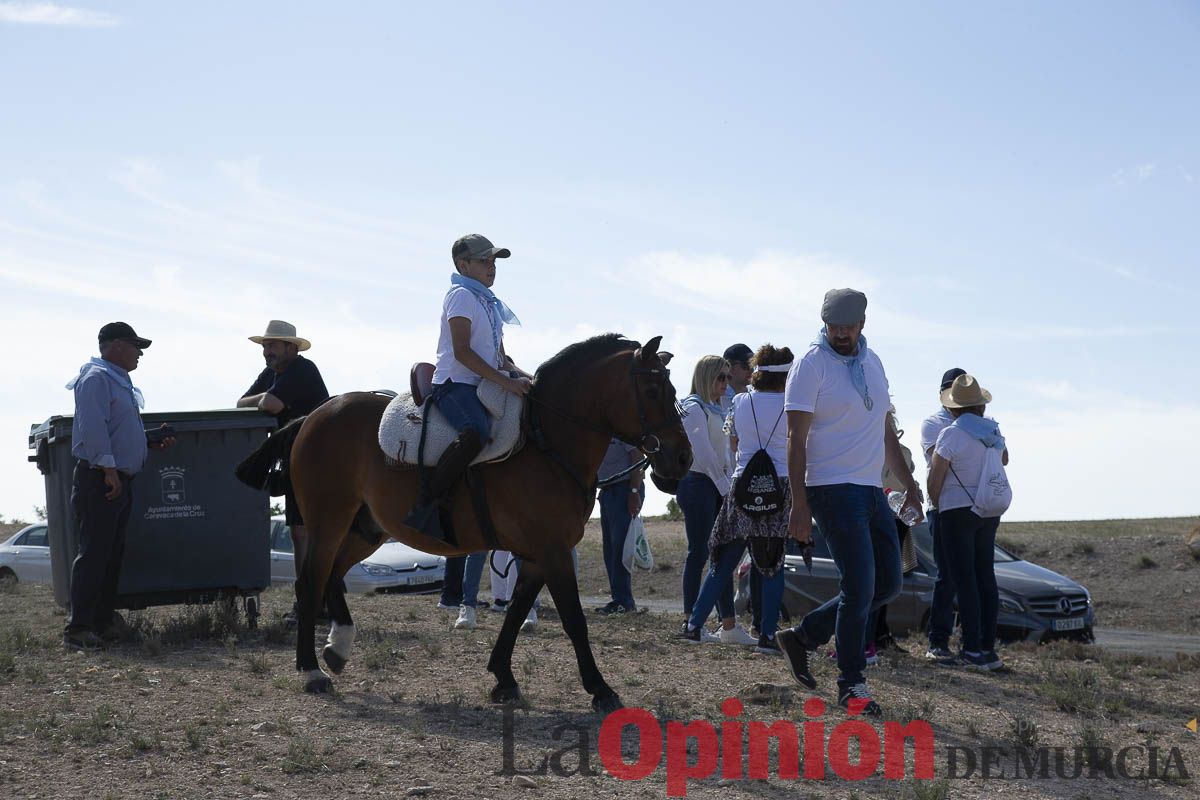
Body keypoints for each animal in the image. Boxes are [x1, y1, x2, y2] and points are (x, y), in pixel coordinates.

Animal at [232, 333, 691, 714]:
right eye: (653, 390)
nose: (682, 458)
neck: (547, 441)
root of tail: (312, 417)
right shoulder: (554, 552)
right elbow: (574, 621)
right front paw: (600, 689)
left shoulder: (538, 556)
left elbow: (516, 612)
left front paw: (503, 679)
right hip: (329, 521)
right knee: (310, 581)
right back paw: (311, 670)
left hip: (368, 529)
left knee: (333, 576)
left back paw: (338, 647)